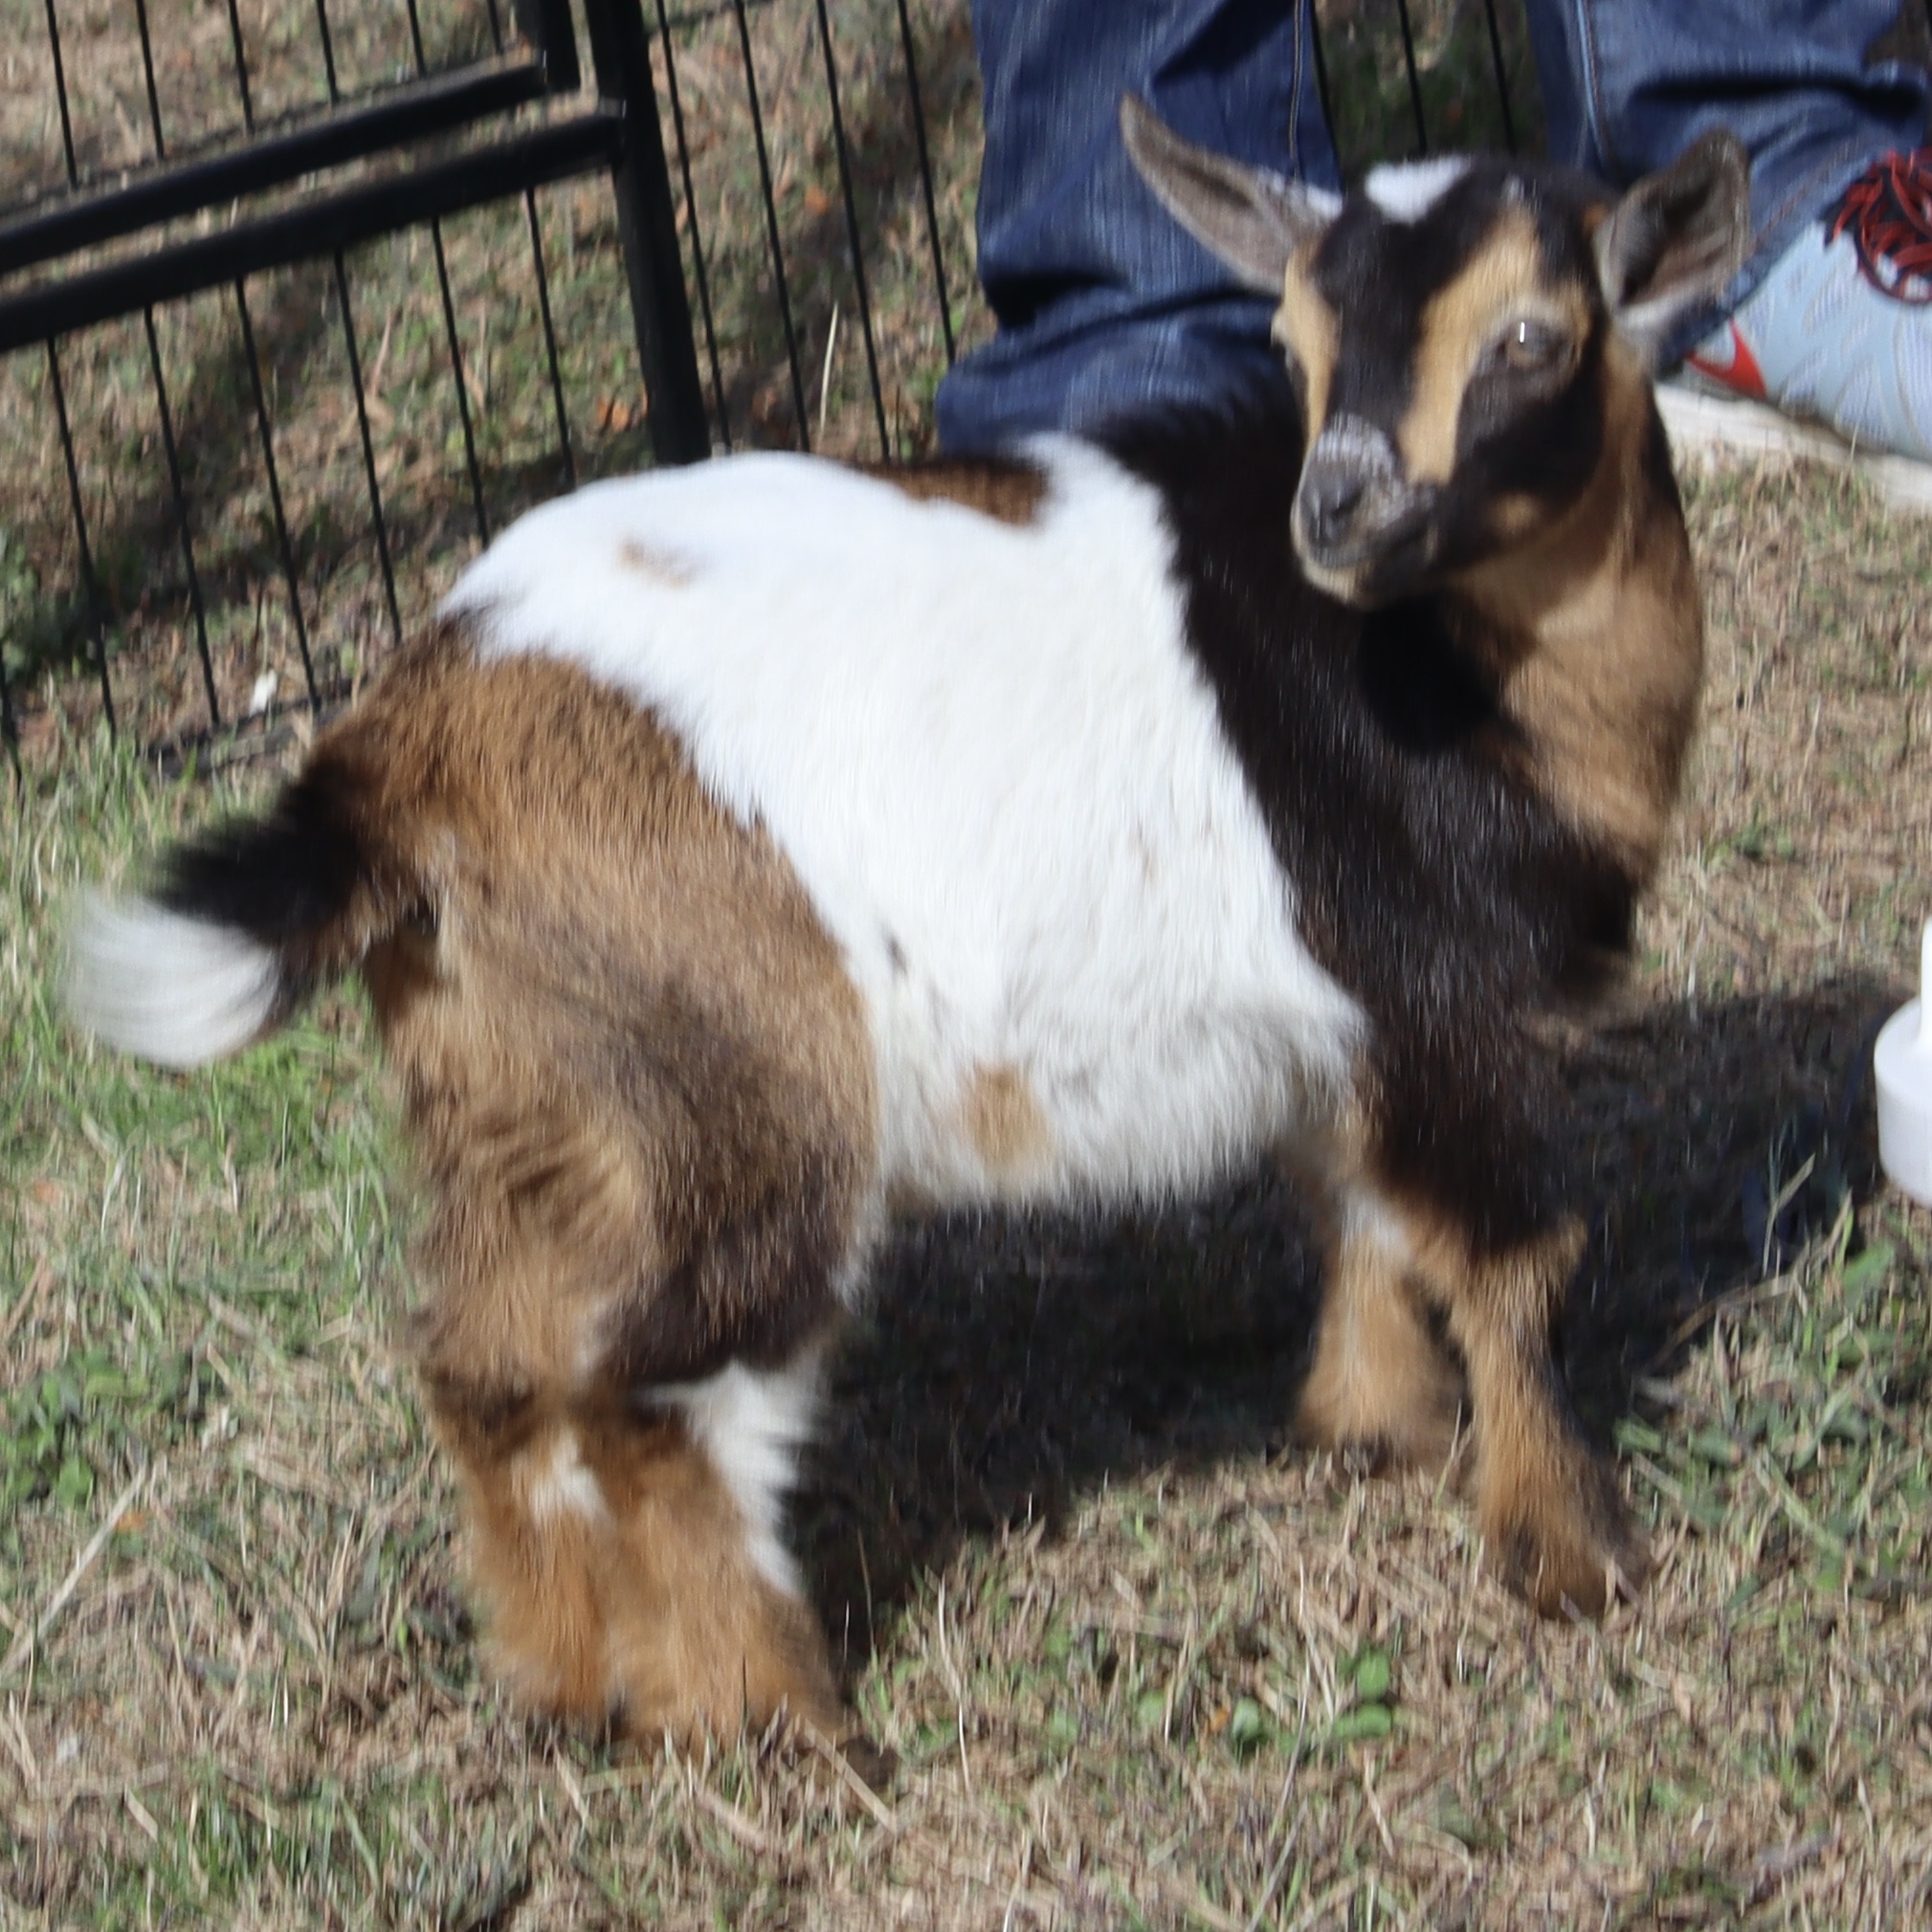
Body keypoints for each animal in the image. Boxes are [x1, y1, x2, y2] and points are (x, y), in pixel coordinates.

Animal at [66, 99, 1749, 1748]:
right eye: (1288, 339)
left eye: (1530, 338)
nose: (1333, 512)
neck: (1468, 672)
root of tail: (400, 752)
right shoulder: (1444, 995)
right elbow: (1507, 1254)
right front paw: (1573, 1554)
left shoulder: (1344, 1027)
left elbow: (1359, 1207)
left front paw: (1368, 1428)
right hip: (746, 1091)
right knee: (656, 1390)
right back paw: (779, 1719)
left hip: (537, 1094)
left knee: (494, 1370)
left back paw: (570, 1680)